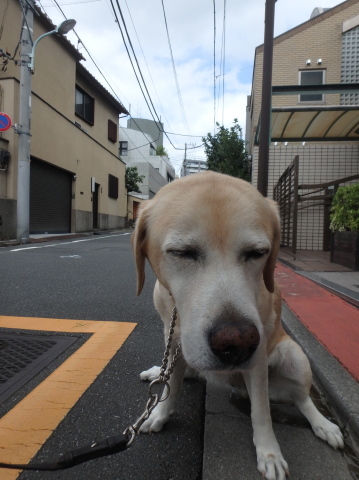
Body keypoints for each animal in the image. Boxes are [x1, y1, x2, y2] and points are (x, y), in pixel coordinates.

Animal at [131, 172, 344, 480]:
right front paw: (159, 414)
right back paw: (158, 371)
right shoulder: (172, 337)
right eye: (183, 252)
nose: (237, 344)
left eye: (257, 253)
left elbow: (261, 412)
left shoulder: (259, 356)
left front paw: (269, 453)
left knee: (302, 399)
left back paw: (323, 425)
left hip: (295, 358)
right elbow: (171, 385)